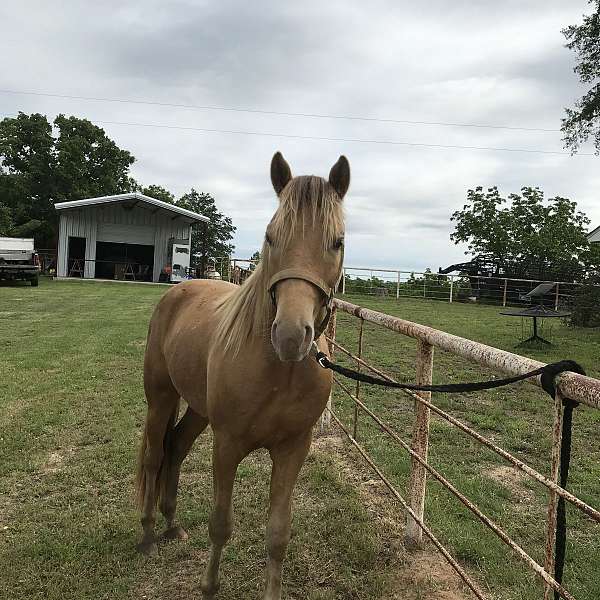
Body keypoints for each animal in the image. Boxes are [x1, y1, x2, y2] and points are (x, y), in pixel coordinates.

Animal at [135, 152, 352, 596]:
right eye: (270, 236)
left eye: (337, 242)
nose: (291, 336)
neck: (279, 374)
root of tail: (178, 289)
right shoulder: (228, 445)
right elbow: (220, 525)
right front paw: (209, 586)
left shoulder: (292, 450)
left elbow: (278, 534)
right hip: (161, 397)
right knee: (153, 455)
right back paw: (148, 535)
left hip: (198, 410)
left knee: (175, 447)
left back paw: (172, 525)